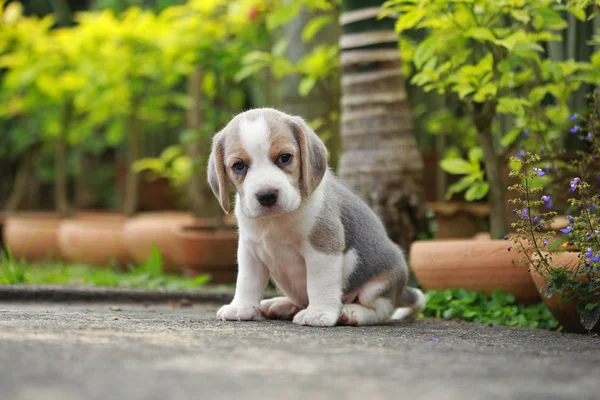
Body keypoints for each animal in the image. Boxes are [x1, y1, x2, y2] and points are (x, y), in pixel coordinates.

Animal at [209, 108, 424, 326]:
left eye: (284, 158)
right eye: (239, 166)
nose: (267, 195)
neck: (275, 221)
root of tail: (401, 289)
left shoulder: (323, 249)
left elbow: (320, 284)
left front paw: (318, 312)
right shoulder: (249, 251)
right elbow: (247, 282)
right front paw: (241, 307)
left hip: (378, 285)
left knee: (381, 309)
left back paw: (353, 312)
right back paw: (281, 304)